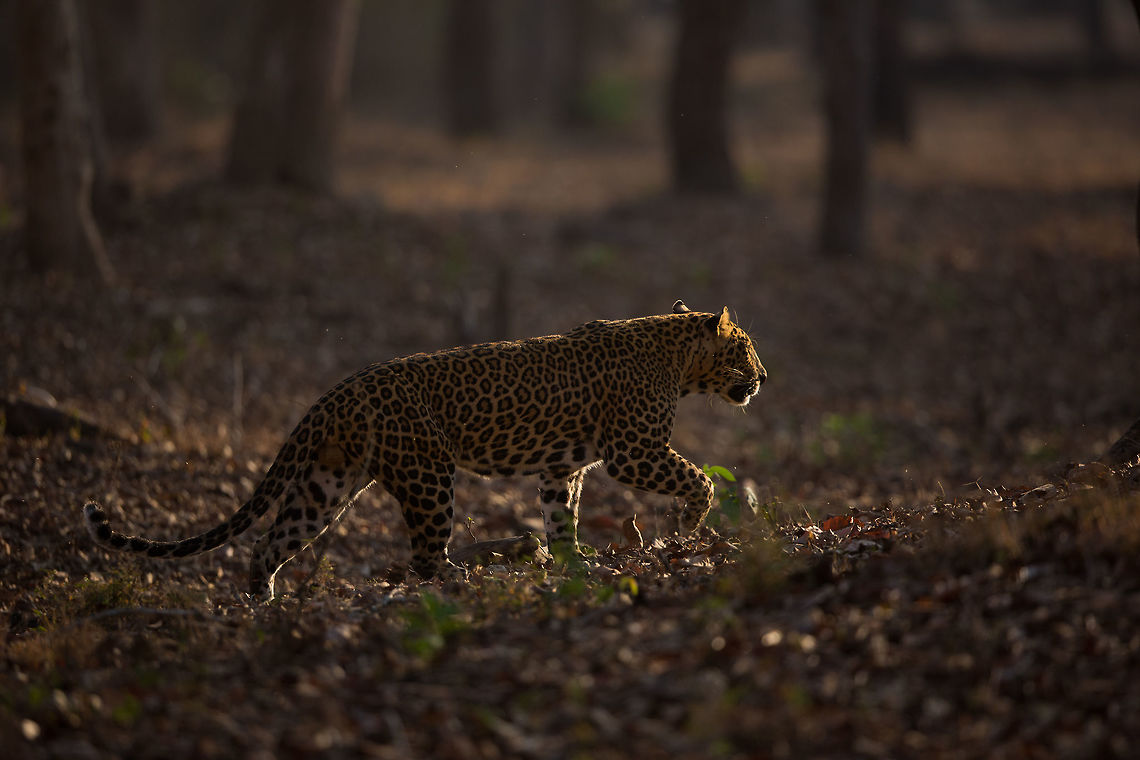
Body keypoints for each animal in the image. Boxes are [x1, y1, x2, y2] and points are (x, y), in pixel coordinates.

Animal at [83, 300, 766, 599]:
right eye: (746, 349)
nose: (763, 378)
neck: (679, 356)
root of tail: (338, 390)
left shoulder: (559, 467)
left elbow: (561, 518)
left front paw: (573, 563)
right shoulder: (635, 449)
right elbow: (700, 478)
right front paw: (688, 526)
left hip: (328, 485)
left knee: (269, 542)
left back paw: (262, 604)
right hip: (429, 476)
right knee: (423, 558)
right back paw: (462, 582)